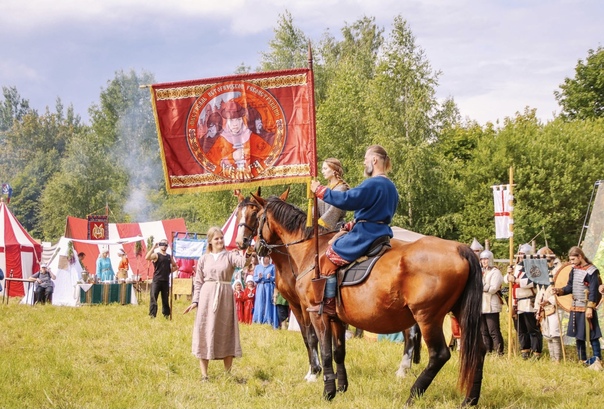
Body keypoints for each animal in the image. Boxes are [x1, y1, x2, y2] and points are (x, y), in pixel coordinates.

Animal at [236, 190, 486, 404]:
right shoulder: (336, 318)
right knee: (479, 350)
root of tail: (461, 249)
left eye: (255, 215)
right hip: (459, 313)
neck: (310, 249)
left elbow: (322, 349)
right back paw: (470, 399)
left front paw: (327, 390)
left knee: (438, 354)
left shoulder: (314, 313)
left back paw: (413, 394)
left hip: (427, 317)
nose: (246, 246)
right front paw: (341, 387)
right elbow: (338, 351)